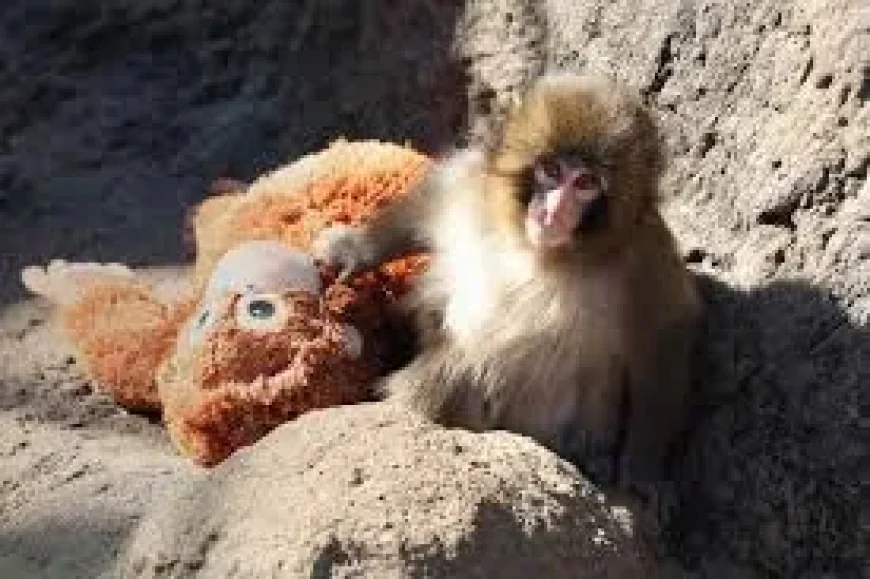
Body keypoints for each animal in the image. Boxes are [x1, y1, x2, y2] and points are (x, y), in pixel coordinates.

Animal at [313, 73, 702, 490]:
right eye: (551, 170)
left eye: (585, 183)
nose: (553, 212)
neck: (539, 251)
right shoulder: (475, 187)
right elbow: (430, 201)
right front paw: (354, 250)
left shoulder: (646, 255)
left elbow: (665, 333)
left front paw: (643, 465)